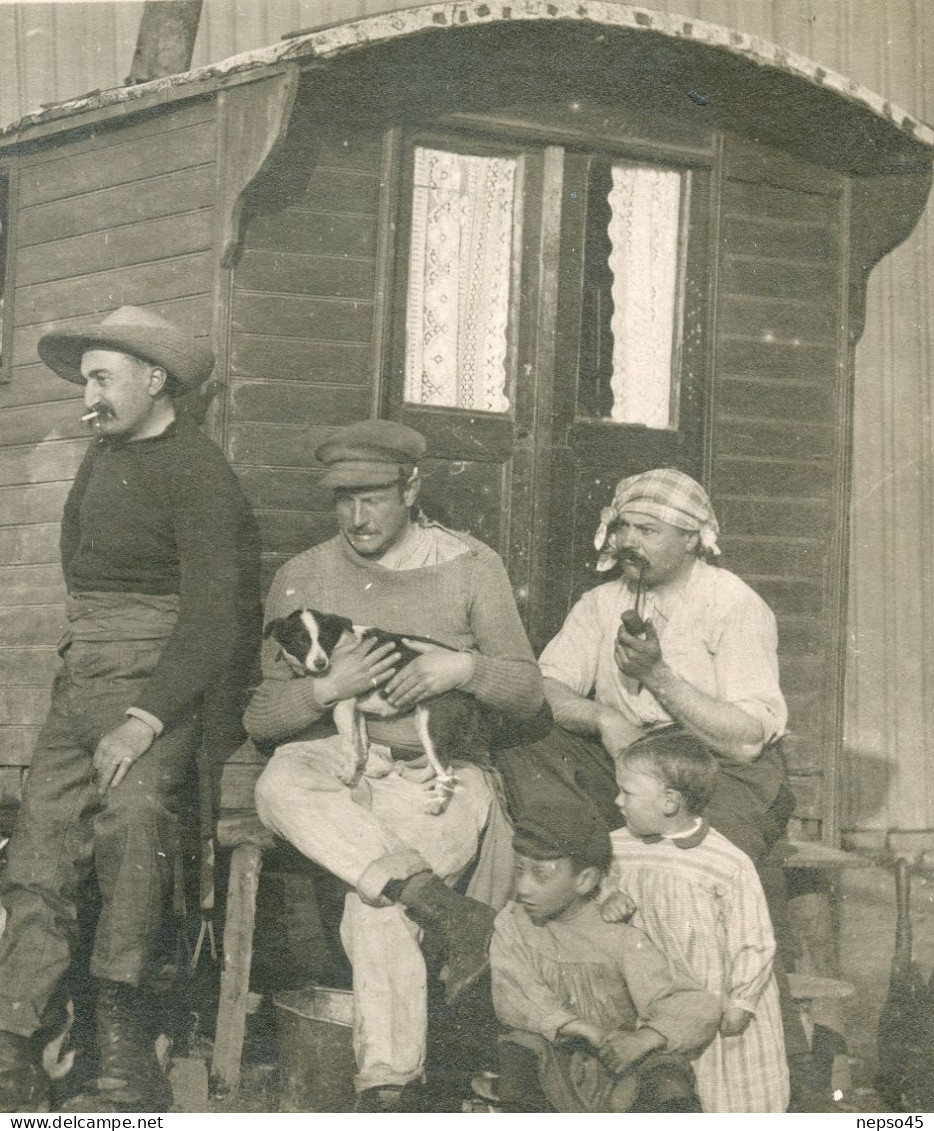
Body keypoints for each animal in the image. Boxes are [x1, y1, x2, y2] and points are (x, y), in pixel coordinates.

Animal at [258, 610, 483, 814]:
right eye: (301, 641)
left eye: (324, 640)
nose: (321, 664)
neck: (339, 643)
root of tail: (468, 693)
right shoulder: (355, 711)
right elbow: (360, 743)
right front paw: (360, 768)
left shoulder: (343, 706)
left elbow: (349, 745)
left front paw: (348, 775)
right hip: (425, 722)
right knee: (435, 761)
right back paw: (415, 777)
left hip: (432, 722)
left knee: (447, 770)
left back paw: (436, 805)